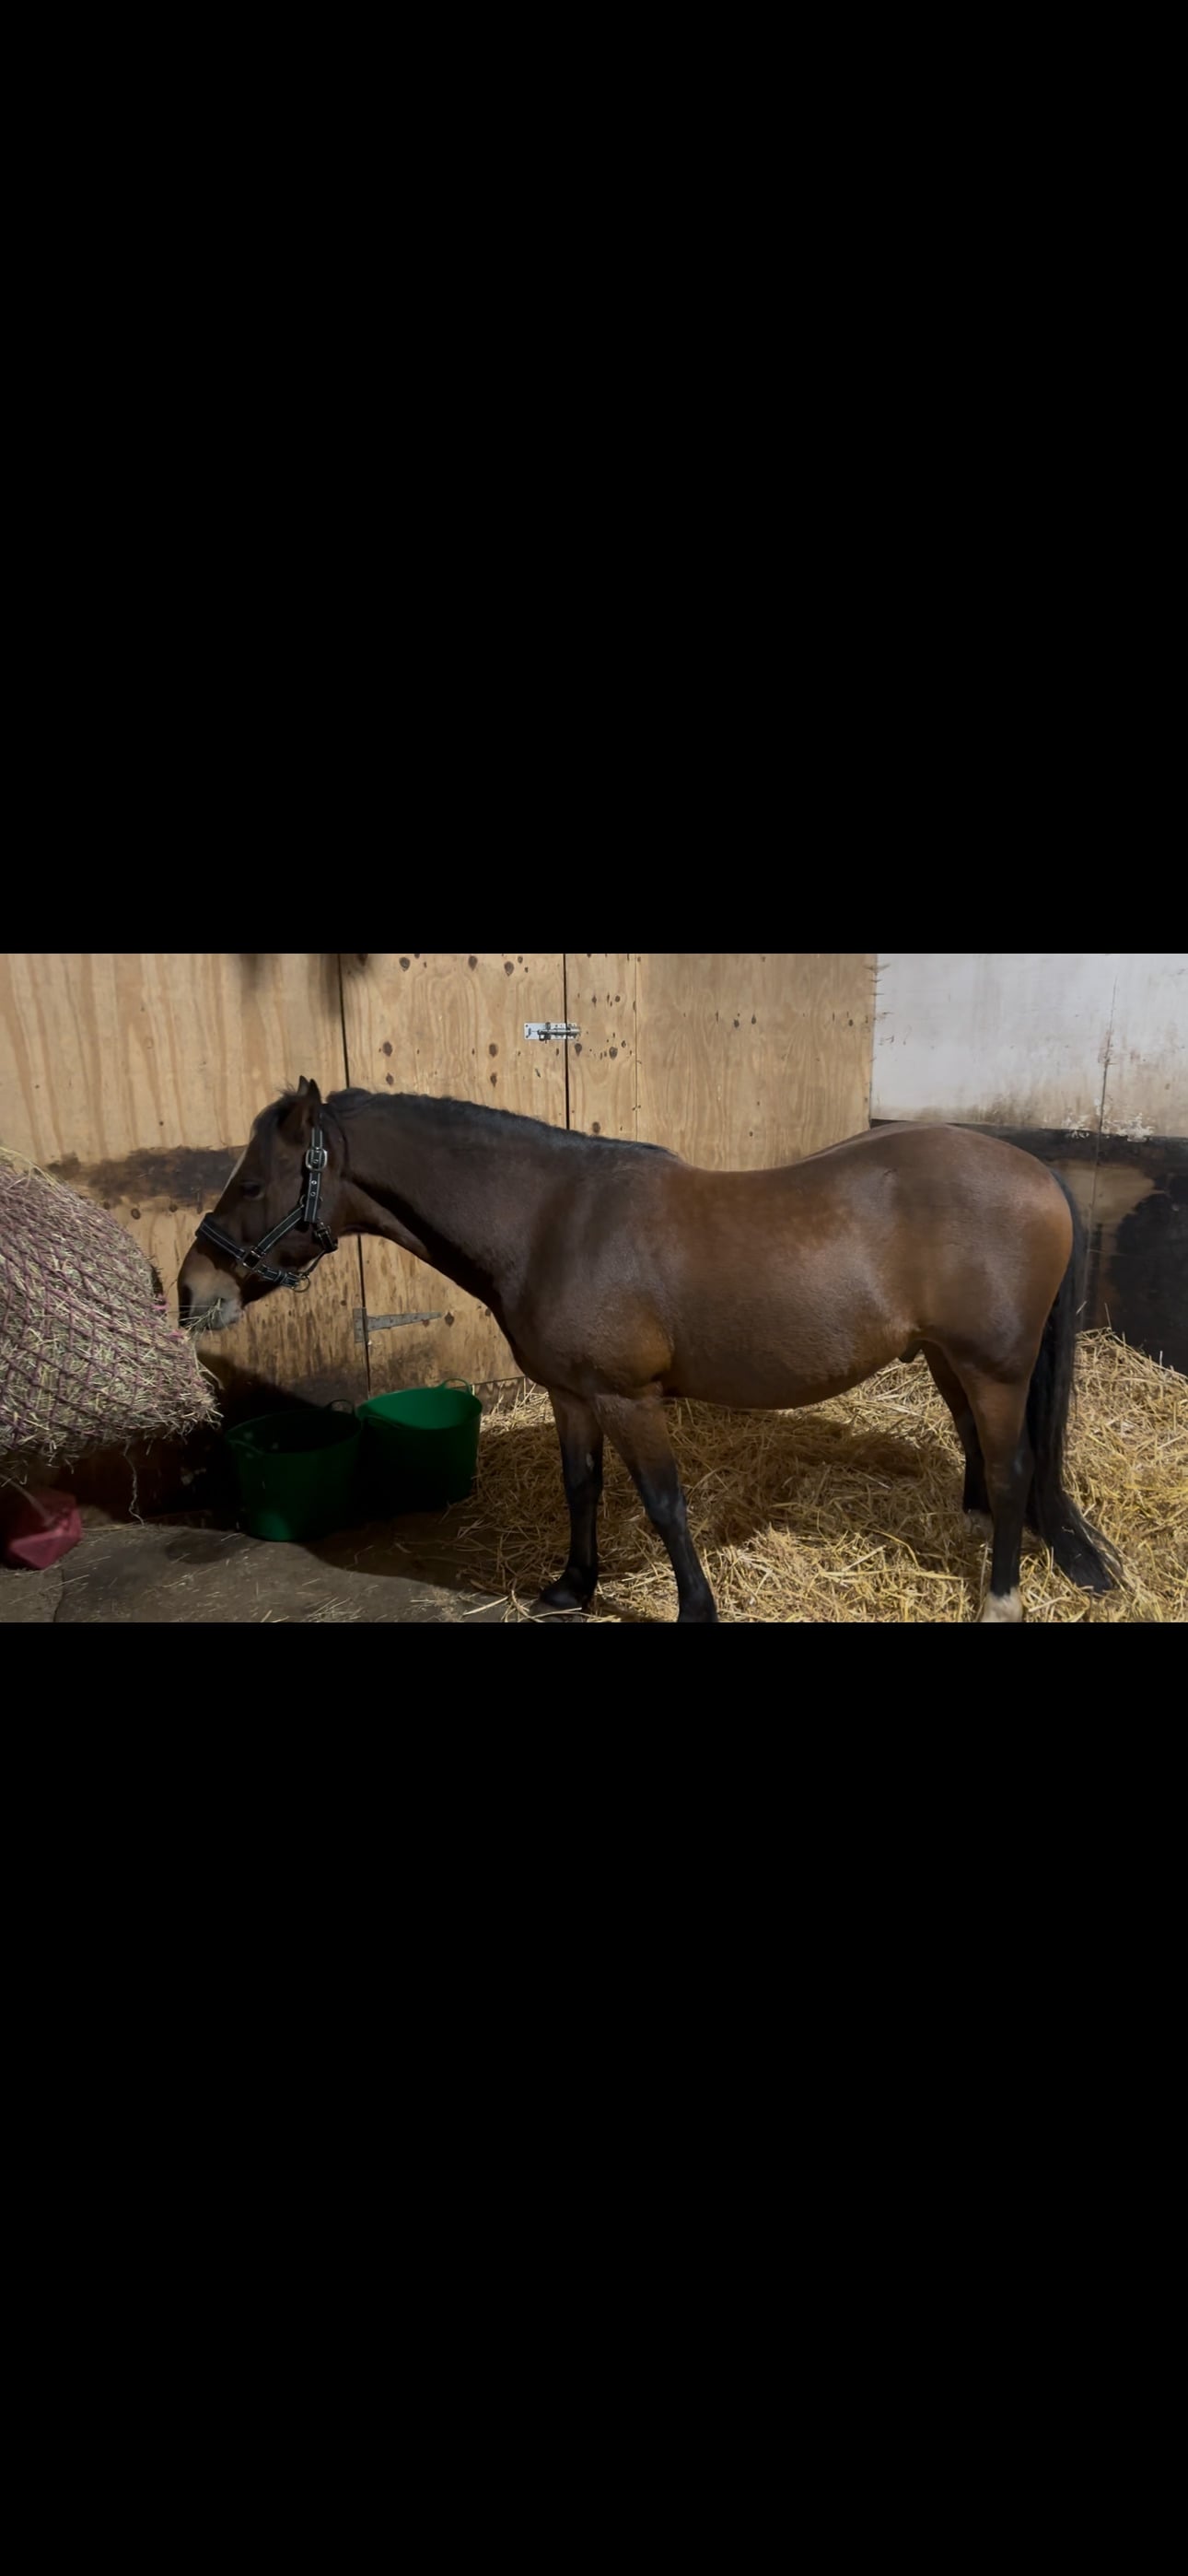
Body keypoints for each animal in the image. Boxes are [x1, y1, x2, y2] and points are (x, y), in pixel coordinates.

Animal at [177, 1079, 1119, 1623]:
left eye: (253, 1183)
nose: (192, 1290)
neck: (550, 1220)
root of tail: (1036, 1170)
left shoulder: (629, 1399)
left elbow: (665, 1505)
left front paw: (695, 1609)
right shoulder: (573, 1396)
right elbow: (582, 1487)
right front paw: (572, 1587)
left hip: (995, 1371)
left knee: (1014, 1471)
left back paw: (1000, 1601)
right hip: (948, 1362)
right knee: (983, 1460)